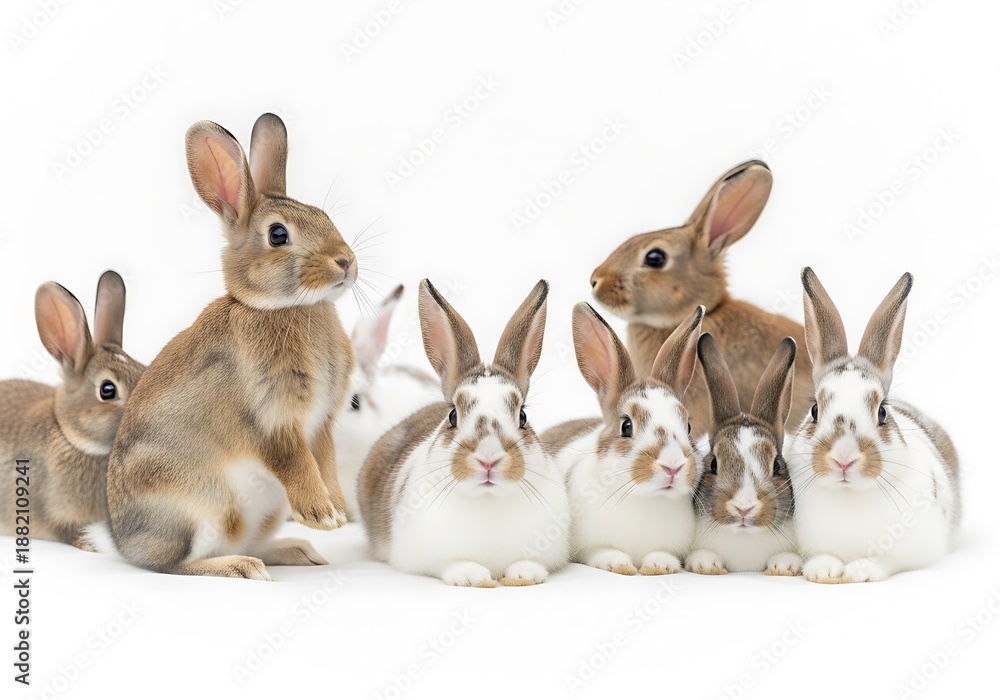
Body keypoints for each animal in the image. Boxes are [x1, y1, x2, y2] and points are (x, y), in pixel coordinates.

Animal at [102, 113, 358, 580]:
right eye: (279, 234)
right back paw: (242, 567)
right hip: (198, 508)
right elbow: (295, 461)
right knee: (176, 565)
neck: (285, 307)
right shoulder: (273, 418)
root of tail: (125, 546)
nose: (346, 261)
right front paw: (322, 515)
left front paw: (338, 513)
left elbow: (325, 460)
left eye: (324, 215)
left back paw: (296, 550)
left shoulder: (321, 424)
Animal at [358, 279, 569, 587]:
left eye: (523, 416)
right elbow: (454, 563)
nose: (489, 459)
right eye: (453, 416)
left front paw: (525, 575)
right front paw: (473, 577)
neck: (488, 503)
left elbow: (530, 563)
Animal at [544, 302, 704, 576]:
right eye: (626, 426)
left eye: (688, 426)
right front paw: (619, 564)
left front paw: (660, 565)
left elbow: (662, 555)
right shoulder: (590, 547)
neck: (647, 499)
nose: (673, 466)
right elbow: (602, 552)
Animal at [786, 268, 960, 583]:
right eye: (815, 410)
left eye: (882, 412)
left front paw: (860, 571)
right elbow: (821, 556)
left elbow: (886, 560)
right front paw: (823, 570)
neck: (850, 497)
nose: (843, 459)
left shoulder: (910, 550)